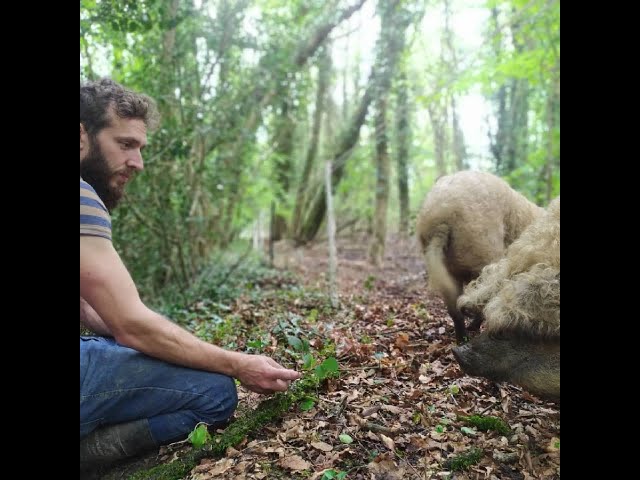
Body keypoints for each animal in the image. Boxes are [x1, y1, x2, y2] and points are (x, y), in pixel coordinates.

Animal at [416, 171, 544, 344]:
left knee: (455, 307)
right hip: (482, 248)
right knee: (479, 296)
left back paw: (464, 338)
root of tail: (441, 218)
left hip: (444, 264)